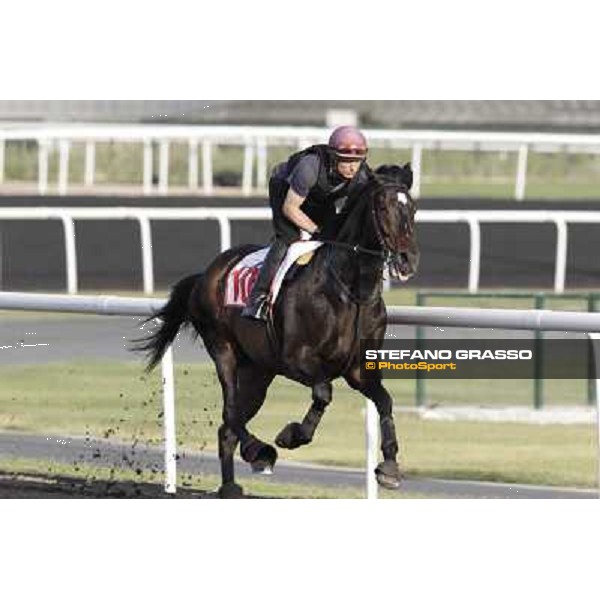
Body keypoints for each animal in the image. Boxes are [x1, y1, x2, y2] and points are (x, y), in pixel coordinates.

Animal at [134, 162, 420, 500]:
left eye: (412, 208)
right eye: (383, 207)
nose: (407, 259)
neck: (349, 291)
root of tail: (206, 274)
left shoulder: (359, 370)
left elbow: (385, 401)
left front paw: (389, 467)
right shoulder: (295, 359)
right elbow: (323, 392)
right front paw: (291, 435)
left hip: (258, 370)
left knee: (228, 425)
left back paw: (230, 485)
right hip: (223, 348)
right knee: (231, 411)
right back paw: (259, 451)